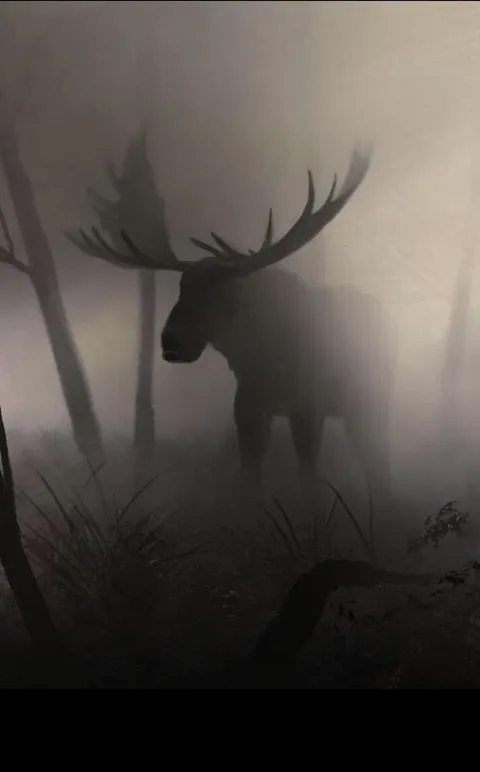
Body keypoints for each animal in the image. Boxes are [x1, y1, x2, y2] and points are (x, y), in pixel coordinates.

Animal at [69, 146, 398, 523]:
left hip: (371, 399)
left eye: (223, 294)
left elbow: (308, 480)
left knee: (378, 464)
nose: (171, 340)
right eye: (180, 288)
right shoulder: (247, 403)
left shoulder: (307, 405)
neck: (263, 360)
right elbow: (249, 475)